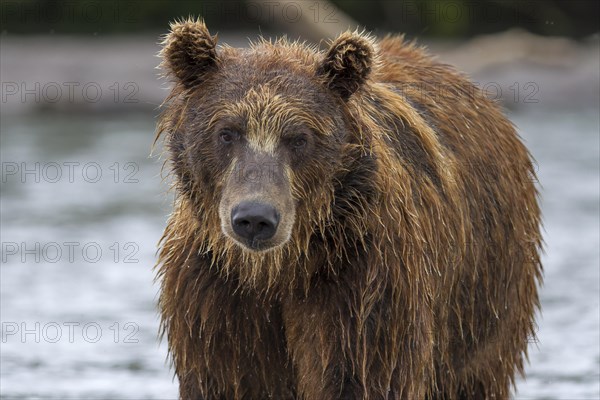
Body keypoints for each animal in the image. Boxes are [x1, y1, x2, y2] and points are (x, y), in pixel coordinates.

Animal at [155, 18, 544, 400]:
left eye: (299, 138)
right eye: (227, 132)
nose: (254, 217)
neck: (278, 270)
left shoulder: (362, 275)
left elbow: (360, 373)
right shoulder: (215, 293)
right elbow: (228, 377)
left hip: (483, 292)